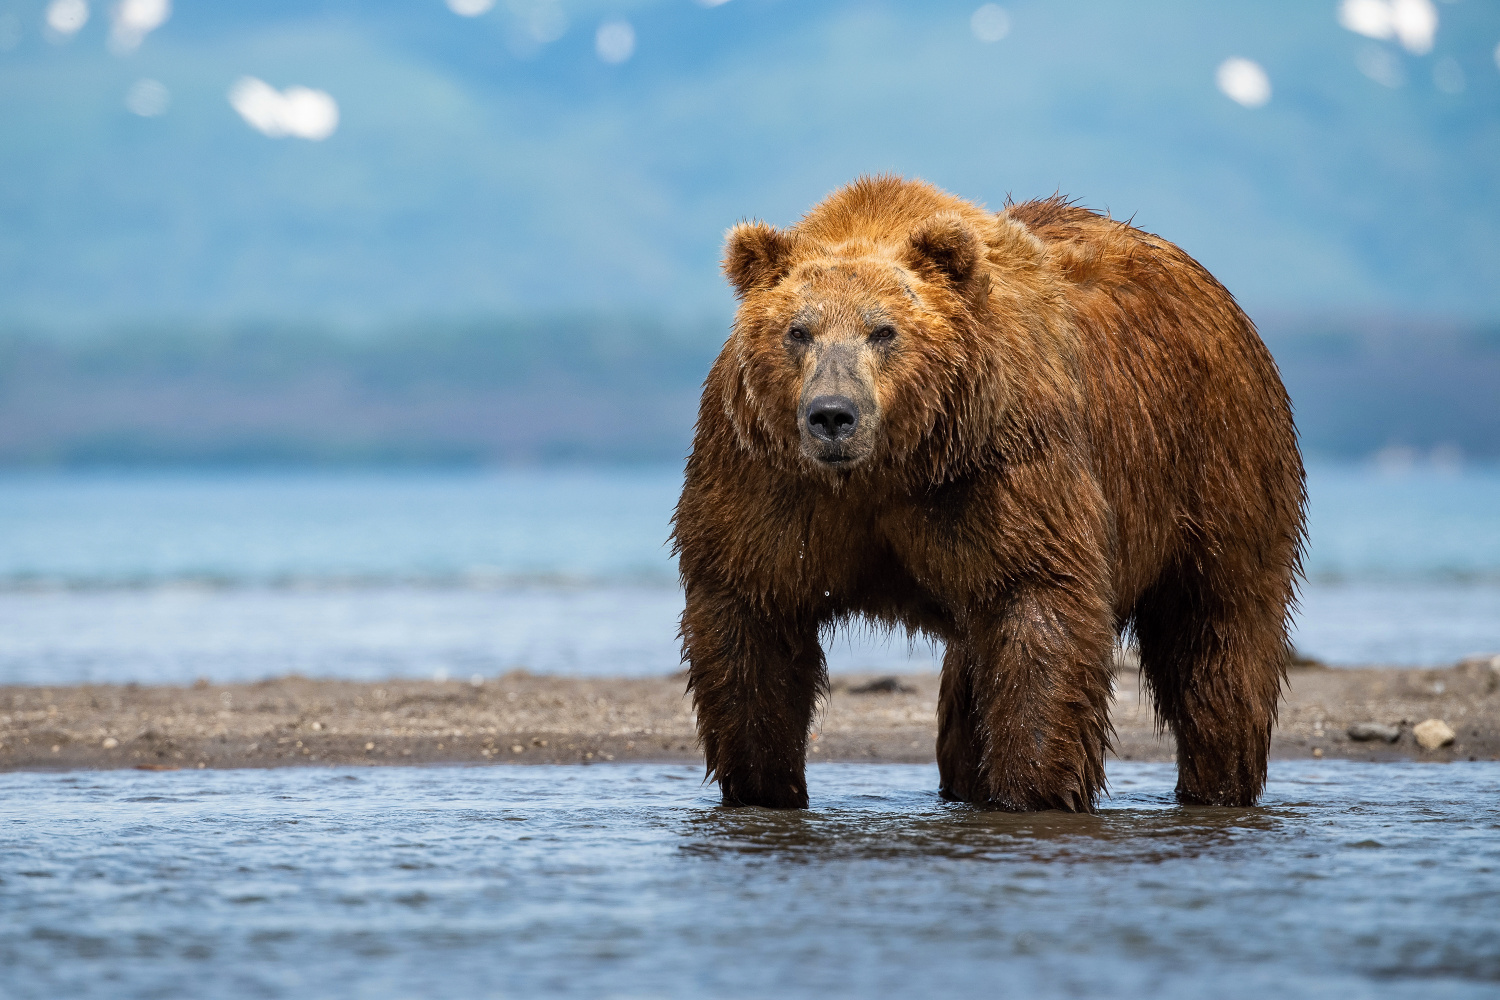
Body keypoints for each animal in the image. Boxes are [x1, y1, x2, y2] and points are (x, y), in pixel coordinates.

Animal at [675, 176, 1308, 809]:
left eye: (883, 330)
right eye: (797, 331)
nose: (833, 414)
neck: (890, 467)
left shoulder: (1002, 462)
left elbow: (1039, 605)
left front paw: (1034, 791)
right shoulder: (766, 475)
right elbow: (751, 616)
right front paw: (762, 788)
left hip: (1217, 460)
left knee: (1218, 635)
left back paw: (1218, 782)